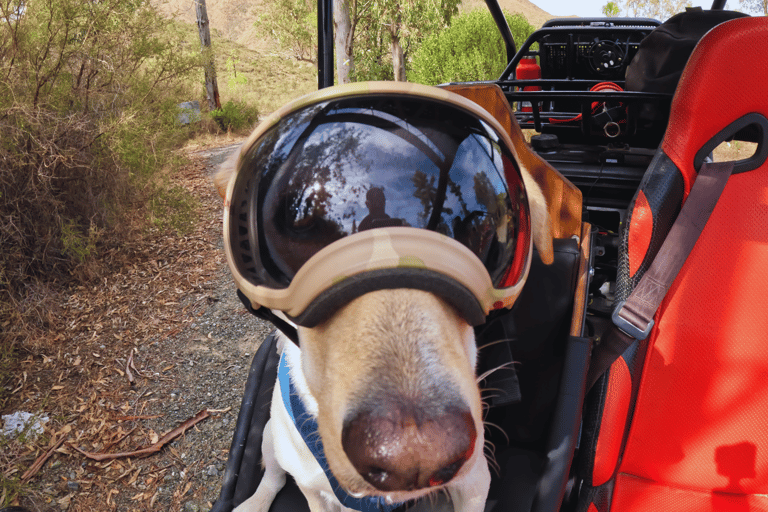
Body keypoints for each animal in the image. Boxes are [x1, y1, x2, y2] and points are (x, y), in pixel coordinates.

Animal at [216, 143, 552, 512]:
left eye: (477, 237)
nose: (416, 453)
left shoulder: (475, 482)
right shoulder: (312, 491)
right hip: (270, 435)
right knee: (273, 477)